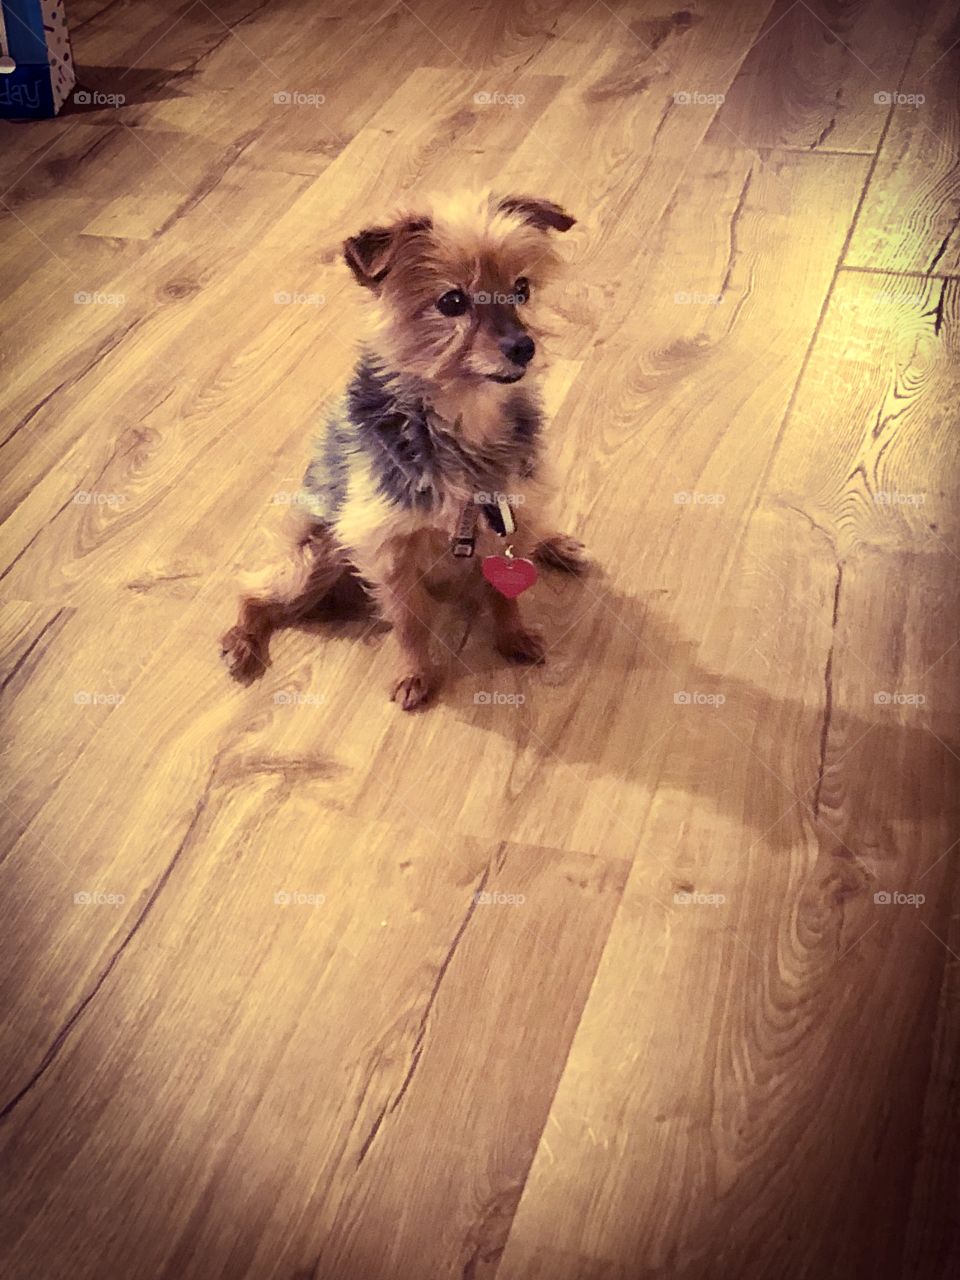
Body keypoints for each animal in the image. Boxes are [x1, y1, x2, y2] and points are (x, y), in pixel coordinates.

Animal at [221, 189, 591, 711]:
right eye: (452, 301)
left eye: (521, 290)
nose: (524, 347)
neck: (463, 417)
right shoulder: (388, 549)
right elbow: (410, 622)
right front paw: (416, 673)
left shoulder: (510, 513)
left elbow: (505, 593)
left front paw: (513, 636)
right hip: (313, 556)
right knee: (254, 593)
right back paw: (241, 641)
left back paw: (556, 544)